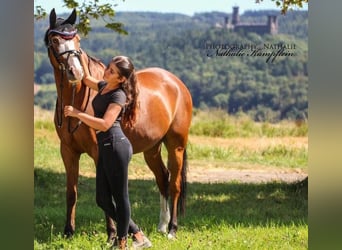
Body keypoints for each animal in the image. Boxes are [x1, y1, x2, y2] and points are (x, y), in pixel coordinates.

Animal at [43, 8, 192, 240]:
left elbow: (107, 193)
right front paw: (68, 231)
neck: (78, 98)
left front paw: (112, 234)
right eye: (56, 39)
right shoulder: (67, 151)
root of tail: (177, 83)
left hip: (176, 145)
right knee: (163, 179)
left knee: (175, 184)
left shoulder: (99, 153)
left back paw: (172, 229)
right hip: (152, 149)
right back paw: (161, 225)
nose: (76, 72)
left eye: (77, 39)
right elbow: (71, 192)